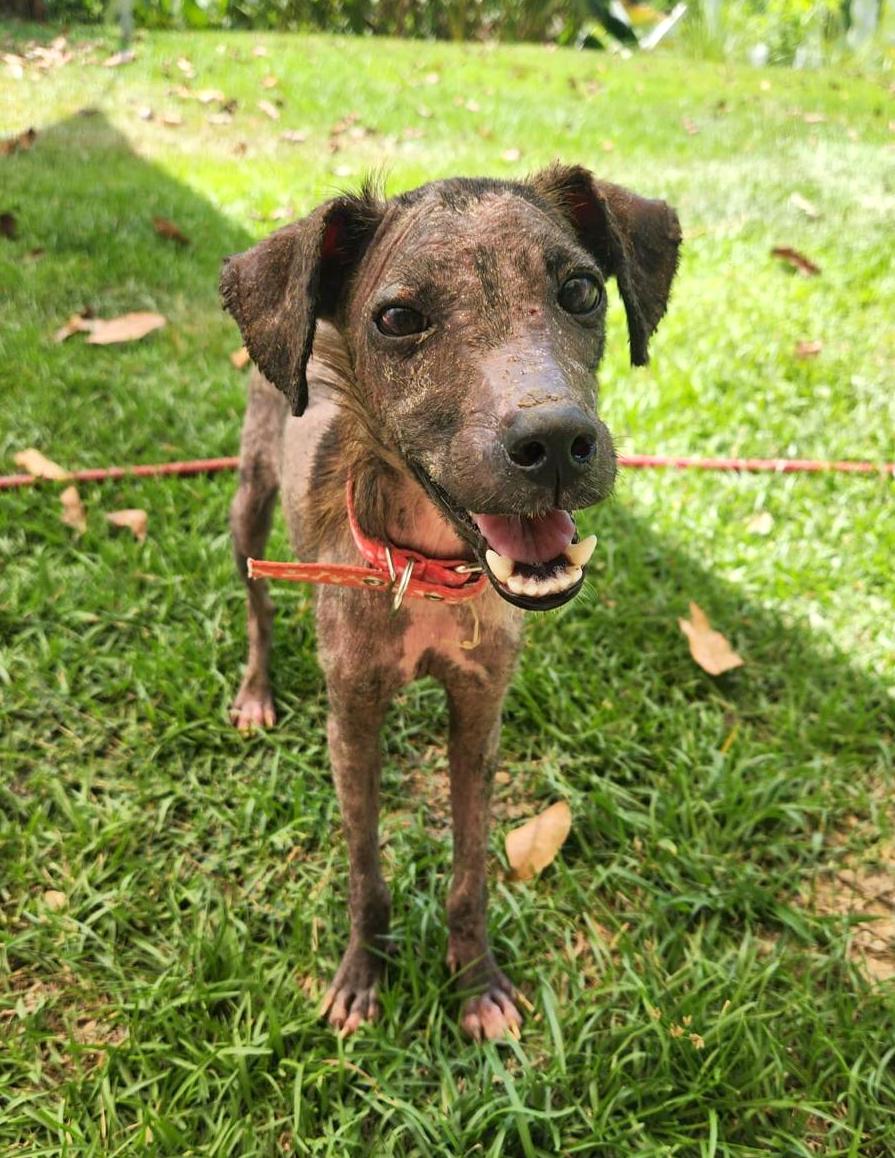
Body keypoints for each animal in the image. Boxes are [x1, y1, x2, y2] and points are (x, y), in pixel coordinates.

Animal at [221, 163, 676, 1042]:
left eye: (580, 290)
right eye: (398, 318)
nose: (556, 443)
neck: (425, 569)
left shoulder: (479, 712)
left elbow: (469, 868)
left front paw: (475, 980)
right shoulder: (352, 720)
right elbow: (365, 869)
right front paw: (363, 974)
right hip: (248, 502)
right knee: (256, 601)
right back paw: (256, 690)